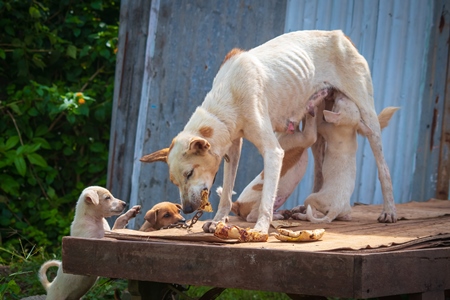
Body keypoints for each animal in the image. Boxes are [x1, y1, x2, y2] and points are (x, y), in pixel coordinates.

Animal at [142, 29, 398, 234]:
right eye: (174, 181)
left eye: (189, 173)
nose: (186, 209)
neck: (228, 95)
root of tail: (341, 35)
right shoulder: (232, 150)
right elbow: (226, 194)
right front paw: (218, 221)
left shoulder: (273, 152)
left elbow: (266, 199)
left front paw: (261, 228)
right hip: (321, 135)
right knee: (319, 172)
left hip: (368, 117)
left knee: (384, 169)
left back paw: (389, 211)